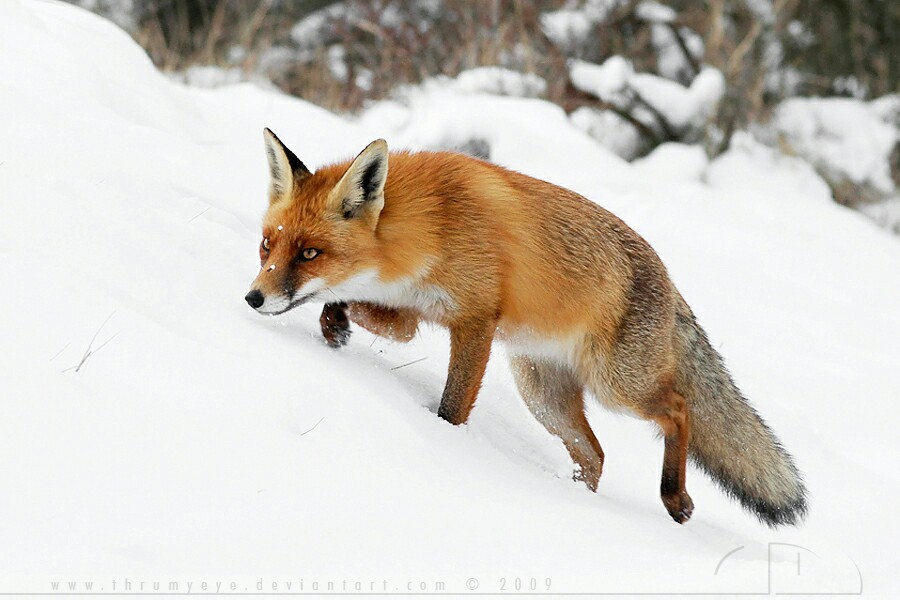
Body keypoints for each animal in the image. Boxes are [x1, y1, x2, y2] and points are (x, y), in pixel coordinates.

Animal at [244, 130, 808, 524]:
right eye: (268, 244)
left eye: (310, 253)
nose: (254, 298)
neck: (431, 225)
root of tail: (671, 285)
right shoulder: (412, 313)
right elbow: (351, 308)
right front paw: (334, 325)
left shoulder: (475, 322)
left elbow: (452, 406)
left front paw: (445, 442)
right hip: (543, 395)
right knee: (596, 456)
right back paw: (575, 501)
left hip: (618, 386)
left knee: (678, 409)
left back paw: (675, 497)